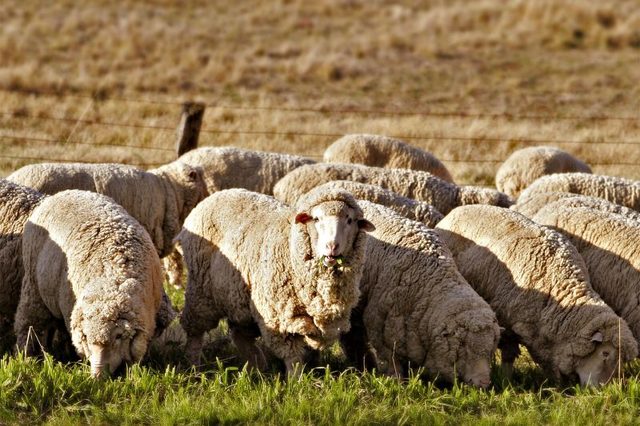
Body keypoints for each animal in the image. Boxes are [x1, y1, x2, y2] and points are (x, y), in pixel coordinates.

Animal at [14, 190, 164, 377]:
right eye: (86, 337)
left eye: (118, 336)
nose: (97, 376)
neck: (113, 276)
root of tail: (63, 192)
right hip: (33, 286)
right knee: (29, 323)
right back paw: (26, 356)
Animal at [176, 188, 374, 376]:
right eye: (317, 219)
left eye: (350, 220)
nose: (332, 247)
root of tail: (213, 197)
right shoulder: (279, 318)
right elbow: (293, 356)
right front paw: (296, 381)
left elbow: (310, 350)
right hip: (200, 291)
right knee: (195, 332)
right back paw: (194, 366)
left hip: (238, 298)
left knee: (239, 333)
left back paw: (256, 366)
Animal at [339, 200, 500, 388]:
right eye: (463, 346)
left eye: (491, 348)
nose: (484, 383)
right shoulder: (379, 328)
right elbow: (390, 360)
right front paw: (395, 381)